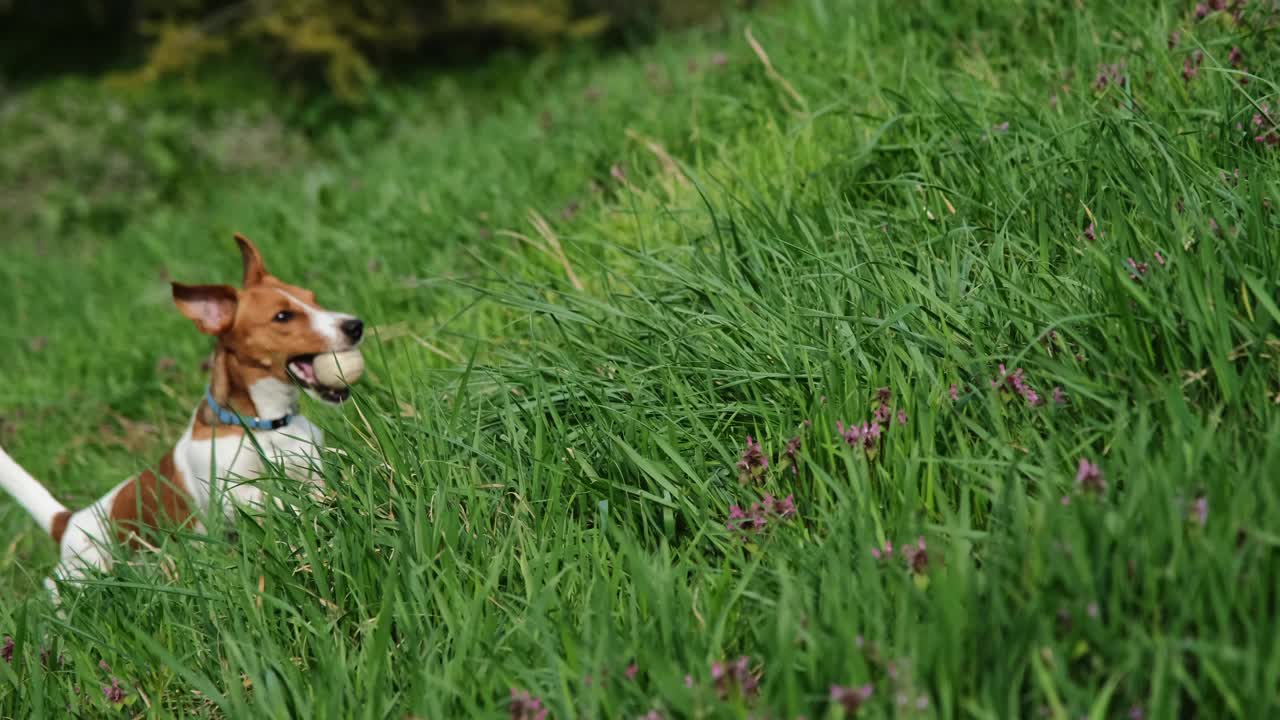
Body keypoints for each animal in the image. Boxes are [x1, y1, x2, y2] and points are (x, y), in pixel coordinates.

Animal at [0, 234, 363, 594]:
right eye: (283, 317)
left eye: (313, 299)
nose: (355, 325)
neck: (265, 425)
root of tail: (71, 522)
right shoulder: (229, 495)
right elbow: (271, 498)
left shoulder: (310, 464)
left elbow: (317, 485)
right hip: (82, 573)